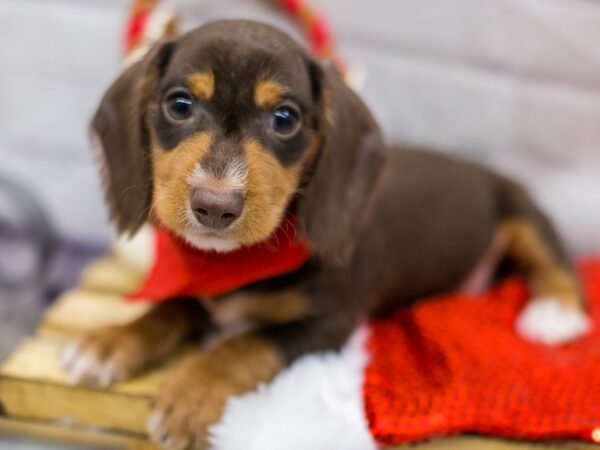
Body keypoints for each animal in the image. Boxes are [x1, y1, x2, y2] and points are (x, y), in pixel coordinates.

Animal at [63, 19, 588, 448]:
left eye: (284, 119)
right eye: (179, 105)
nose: (214, 207)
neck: (233, 262)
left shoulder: (328, 322)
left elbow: (246, 344)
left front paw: (193, 393)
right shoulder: (199, 288)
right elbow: (169, 308)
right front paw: (110, 342)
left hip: (522, 210)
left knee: (554, 260)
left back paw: (554, 314)